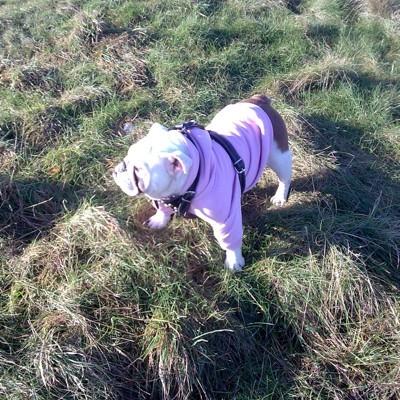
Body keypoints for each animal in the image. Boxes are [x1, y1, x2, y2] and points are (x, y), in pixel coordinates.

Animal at [114, 94, 292, 270]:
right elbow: (162, 210)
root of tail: (259, 100)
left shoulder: (226, 219)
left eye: (139, 170)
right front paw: (159, 220)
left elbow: (230, 240)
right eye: (128, 155)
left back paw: (280, 197)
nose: (121, 167)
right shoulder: (162, 196)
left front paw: (234, 261)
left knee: (284, 178)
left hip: (278, 157)